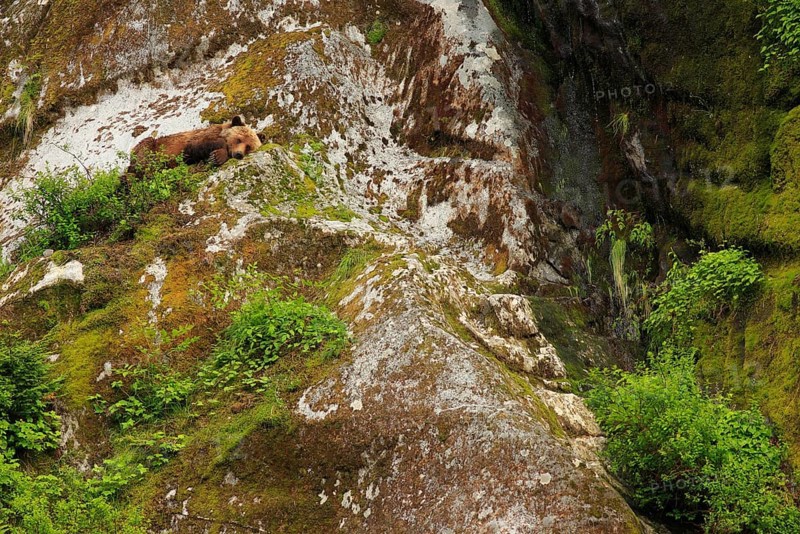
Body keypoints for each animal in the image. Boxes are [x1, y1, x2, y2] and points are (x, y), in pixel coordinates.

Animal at [127, 115, 263, 175]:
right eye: (239, 139)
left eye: (249, 147)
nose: (239, 154)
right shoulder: (195, 139)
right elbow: (192, 148)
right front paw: (217, 155)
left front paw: (217, 157)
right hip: (151, 146)